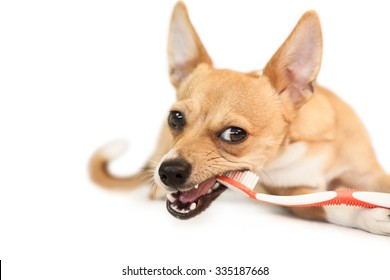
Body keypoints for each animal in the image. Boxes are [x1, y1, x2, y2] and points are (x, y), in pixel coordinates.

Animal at [90, 1, 390, 236]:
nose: (169, 171)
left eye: (234, 134)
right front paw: (370, 215)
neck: (299, 146)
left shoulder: (371, 175)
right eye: (175, 118)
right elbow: (330, 203)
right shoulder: (290, 195)